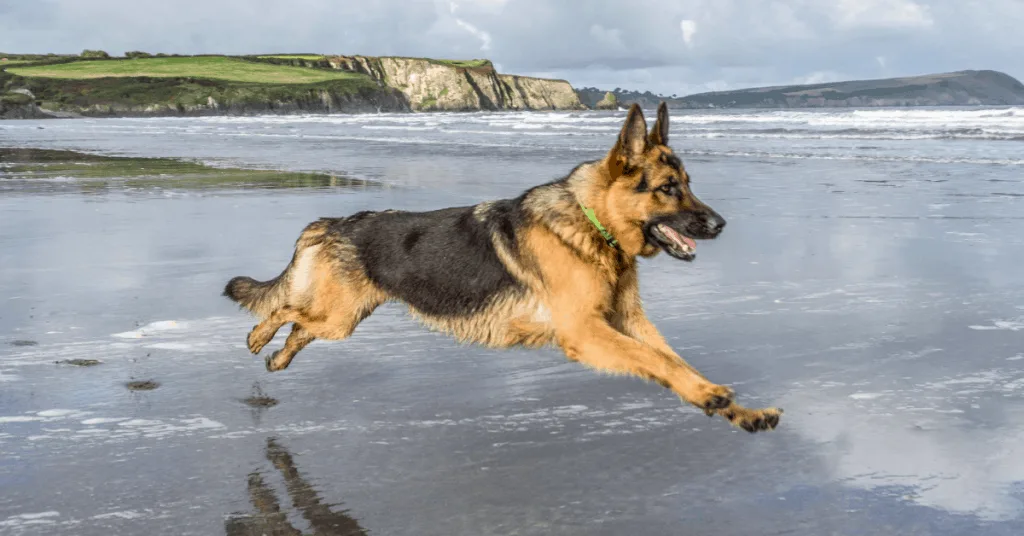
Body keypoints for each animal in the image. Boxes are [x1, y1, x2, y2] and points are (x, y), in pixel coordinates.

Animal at [226, 104, 782, 432]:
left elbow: (675, 361)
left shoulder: (628, 323)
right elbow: (659, 362)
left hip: (344, 318)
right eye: (668, 189)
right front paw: (711, 396)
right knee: (286, 311)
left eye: (688, 184)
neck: (591, 223)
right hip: (340, 316)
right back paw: (258, 338)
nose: (720, 224)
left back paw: (276, 360)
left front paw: (736, 409)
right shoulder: (587, 331)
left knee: (300, 324)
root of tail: (335, 221)